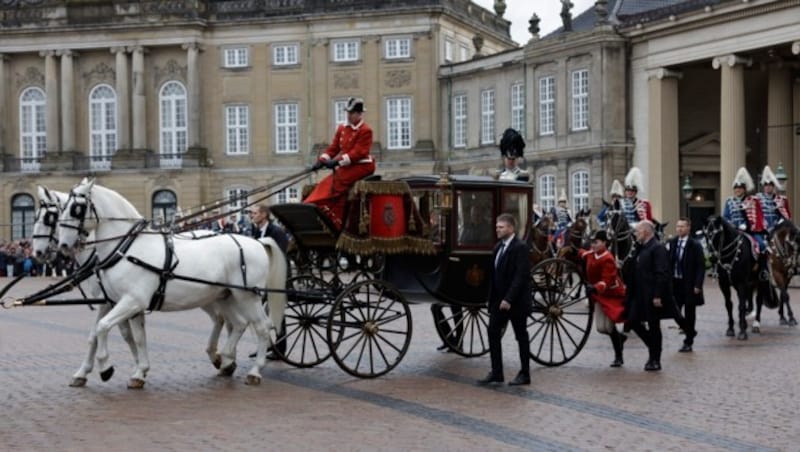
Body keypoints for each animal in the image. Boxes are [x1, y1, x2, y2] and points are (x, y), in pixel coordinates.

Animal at [56, 178, 288, 386]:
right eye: (62, 208)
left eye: (76, 208)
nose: (63, 245)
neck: (128, 249)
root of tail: (257, 241)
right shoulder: (126, 304)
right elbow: (136, 337)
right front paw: (139, 372)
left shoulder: (132, 301)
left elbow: (102, 327)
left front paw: (105, 367)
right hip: (226, 296)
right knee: (238, 323)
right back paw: (225, 359)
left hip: (247, 296)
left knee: (262, 327)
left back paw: (254, 370)